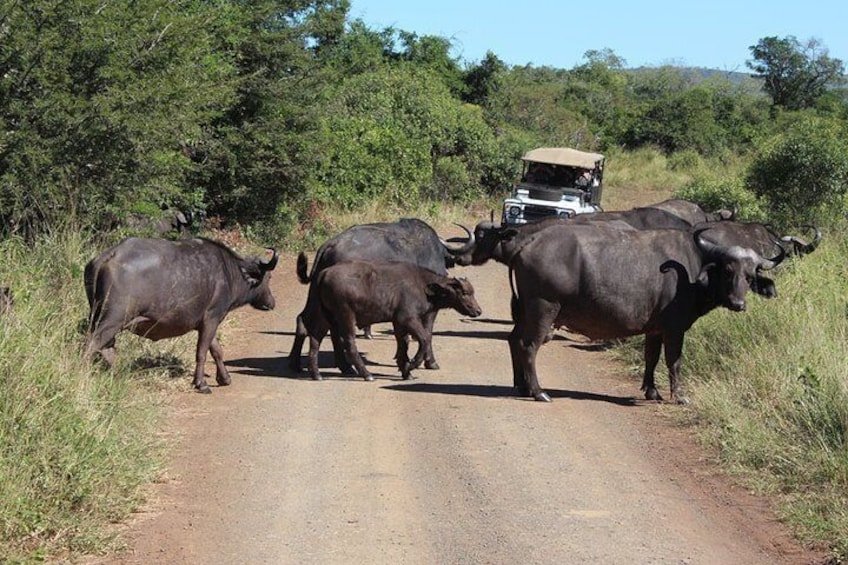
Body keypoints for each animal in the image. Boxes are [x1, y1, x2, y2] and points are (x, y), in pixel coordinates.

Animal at [85, 237, 278, 392]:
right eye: (268, 278)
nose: (271, 302)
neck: (229, 272)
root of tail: (110, 255)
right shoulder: (212, 318)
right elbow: (202, 352)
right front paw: (201, 383)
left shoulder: (205, 322)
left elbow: (216, 350)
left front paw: (224, 378)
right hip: (112, 320)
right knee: (92, 345)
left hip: (97, 317)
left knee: (107, 348)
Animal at [304, 262, 480, 382]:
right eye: (464, 292)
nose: (478, 311)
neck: (422, 285)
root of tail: (324, 273)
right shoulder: (408, 318)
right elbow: (424, 339)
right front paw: (411, 365)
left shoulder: (398, 323)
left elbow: (403, 344)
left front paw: (406, 371)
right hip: (346, 316)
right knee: (349, 343)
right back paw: (367, 374)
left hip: (325, 317)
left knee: (315, 338)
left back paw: (316, 374)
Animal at [448, 220, 784, 400]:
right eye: (727, 270)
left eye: (750, 275)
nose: (738, 303)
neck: (694, 266)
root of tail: (525, 245)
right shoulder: (675, 329)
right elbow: (674, 361)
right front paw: (678, 396)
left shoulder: (655, 329)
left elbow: (651, 358)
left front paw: (651, 391)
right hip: (543, 309)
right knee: (527, 345)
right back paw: (539, 391)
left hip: (526, 311)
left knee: (512, 340)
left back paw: (521, 386)